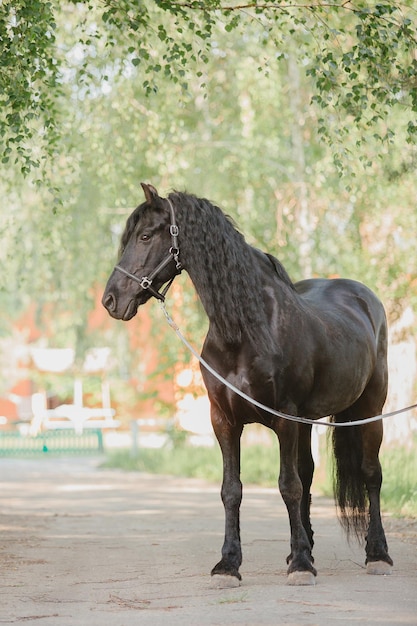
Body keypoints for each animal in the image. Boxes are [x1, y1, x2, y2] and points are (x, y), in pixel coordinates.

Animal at [102, 182, 392, 584]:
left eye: (145, 235)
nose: (111, 299)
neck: (247, 331)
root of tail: (364, 297)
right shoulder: (223, 420)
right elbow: (233, 490)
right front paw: (229, 564)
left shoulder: (284, 417)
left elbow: (287, 486)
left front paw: (301, 565)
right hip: (307, 421)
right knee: (308, 473)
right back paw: (302, 547)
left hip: (369, 409)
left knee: (370, 474)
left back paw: (377, 554)